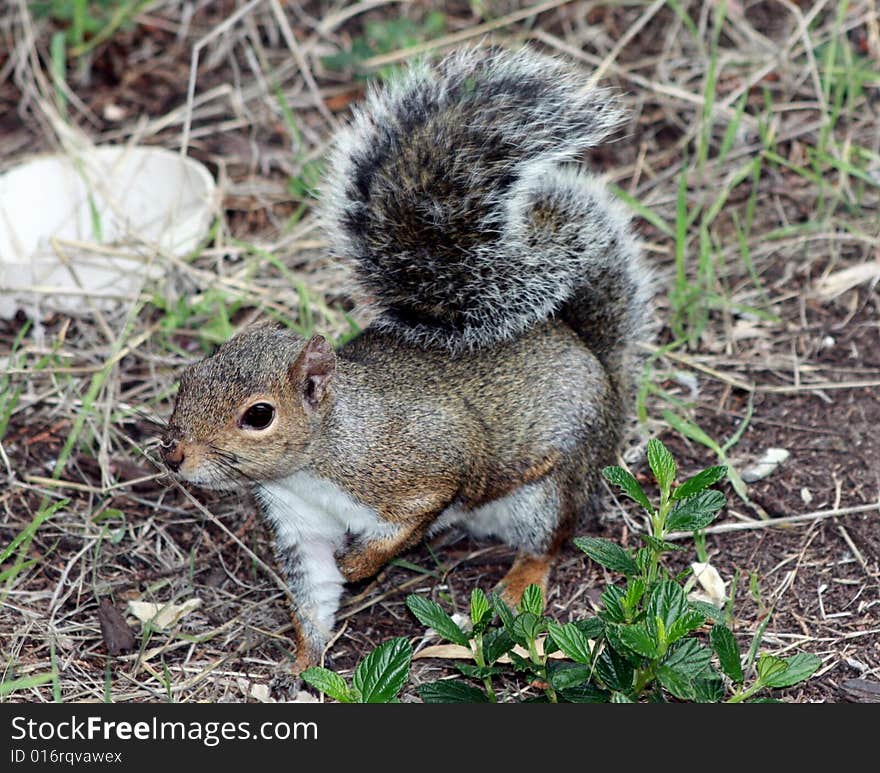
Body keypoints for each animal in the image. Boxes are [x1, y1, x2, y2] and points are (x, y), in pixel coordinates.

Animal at [160, 46, 652, 668]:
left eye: (259, 415)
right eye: (186, 380)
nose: (174, 455)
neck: (318, 460)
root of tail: (593, 357)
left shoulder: (423, 465)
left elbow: (417, 514)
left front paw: (360, 564)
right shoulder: (300, 526)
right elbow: (313, 593)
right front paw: (303, 663)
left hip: (555, 482)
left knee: (549, 541)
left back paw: (519, 581)